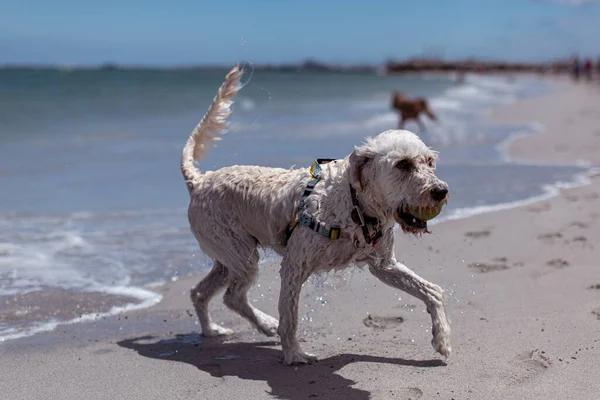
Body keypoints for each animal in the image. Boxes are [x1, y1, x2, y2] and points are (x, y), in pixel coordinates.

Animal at [182, 65, 450, 366]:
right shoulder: (294, 266)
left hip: (229, 257)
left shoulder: (384, 266)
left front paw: (441, 338)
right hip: (240, 253)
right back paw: (265, 325)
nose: (441, 191)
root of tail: (199, 181)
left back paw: (211, 329)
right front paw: (293, 354)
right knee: (233, 296)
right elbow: (290, 318)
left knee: (201, 292)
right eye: (403, 164)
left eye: (430, 162)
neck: (354, 206)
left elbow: (432, 291)